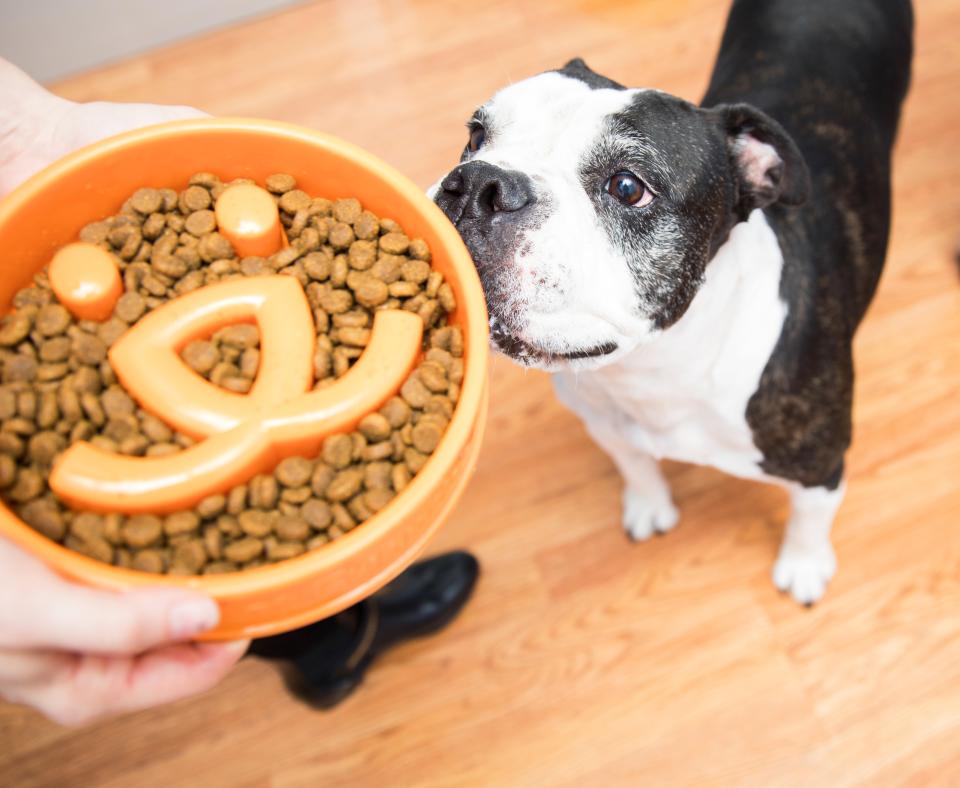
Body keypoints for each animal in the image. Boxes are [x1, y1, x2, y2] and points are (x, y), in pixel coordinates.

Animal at [432, 0, 912, 604]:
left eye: (628, 187)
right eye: (476, 137)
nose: (476, 183)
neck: (656, 367)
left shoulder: (821, 465)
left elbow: (809, 517)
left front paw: (804, 565)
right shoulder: (605, 423)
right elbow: (635, 465)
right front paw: (649, 505)